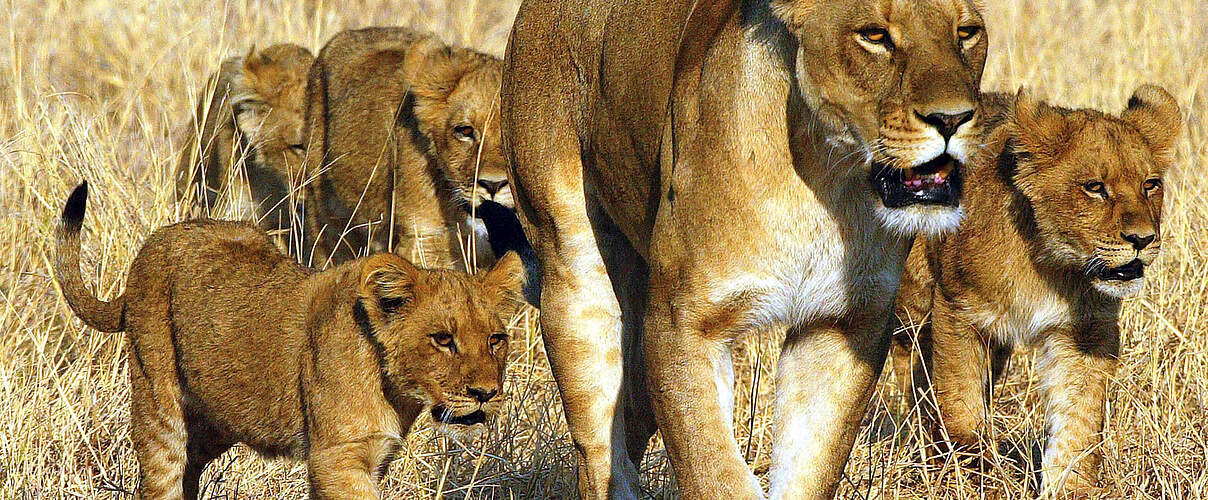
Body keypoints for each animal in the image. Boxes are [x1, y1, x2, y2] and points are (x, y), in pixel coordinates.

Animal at [53, 181, 525, 500]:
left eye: (496, 340)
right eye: (443, 339)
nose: (486, 394)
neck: (396, 391)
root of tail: (159, 238)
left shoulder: (370, 457)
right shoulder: (338, 457)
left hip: (215, 419)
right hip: (158, 402)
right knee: (161, 476)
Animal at [501, 0, 988, 497]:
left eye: (967, 32)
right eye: (873, 35)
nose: (953, 120)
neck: (824, 178)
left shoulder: (844, 322)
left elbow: (810, 468)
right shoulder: (684, 322)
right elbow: (714, 471)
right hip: (571, 265)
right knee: (601, 453)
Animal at [891, 85, 1180, 496]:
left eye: (1150, 184)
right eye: (1095, 188)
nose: (1142, 240)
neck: (1053, 265)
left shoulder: (1085, 335)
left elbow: (1078, 423)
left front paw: (1070, 489)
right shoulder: (958, 310)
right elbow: (959, 403)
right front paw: (974, 475)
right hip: (913, 303)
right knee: (910, 364)